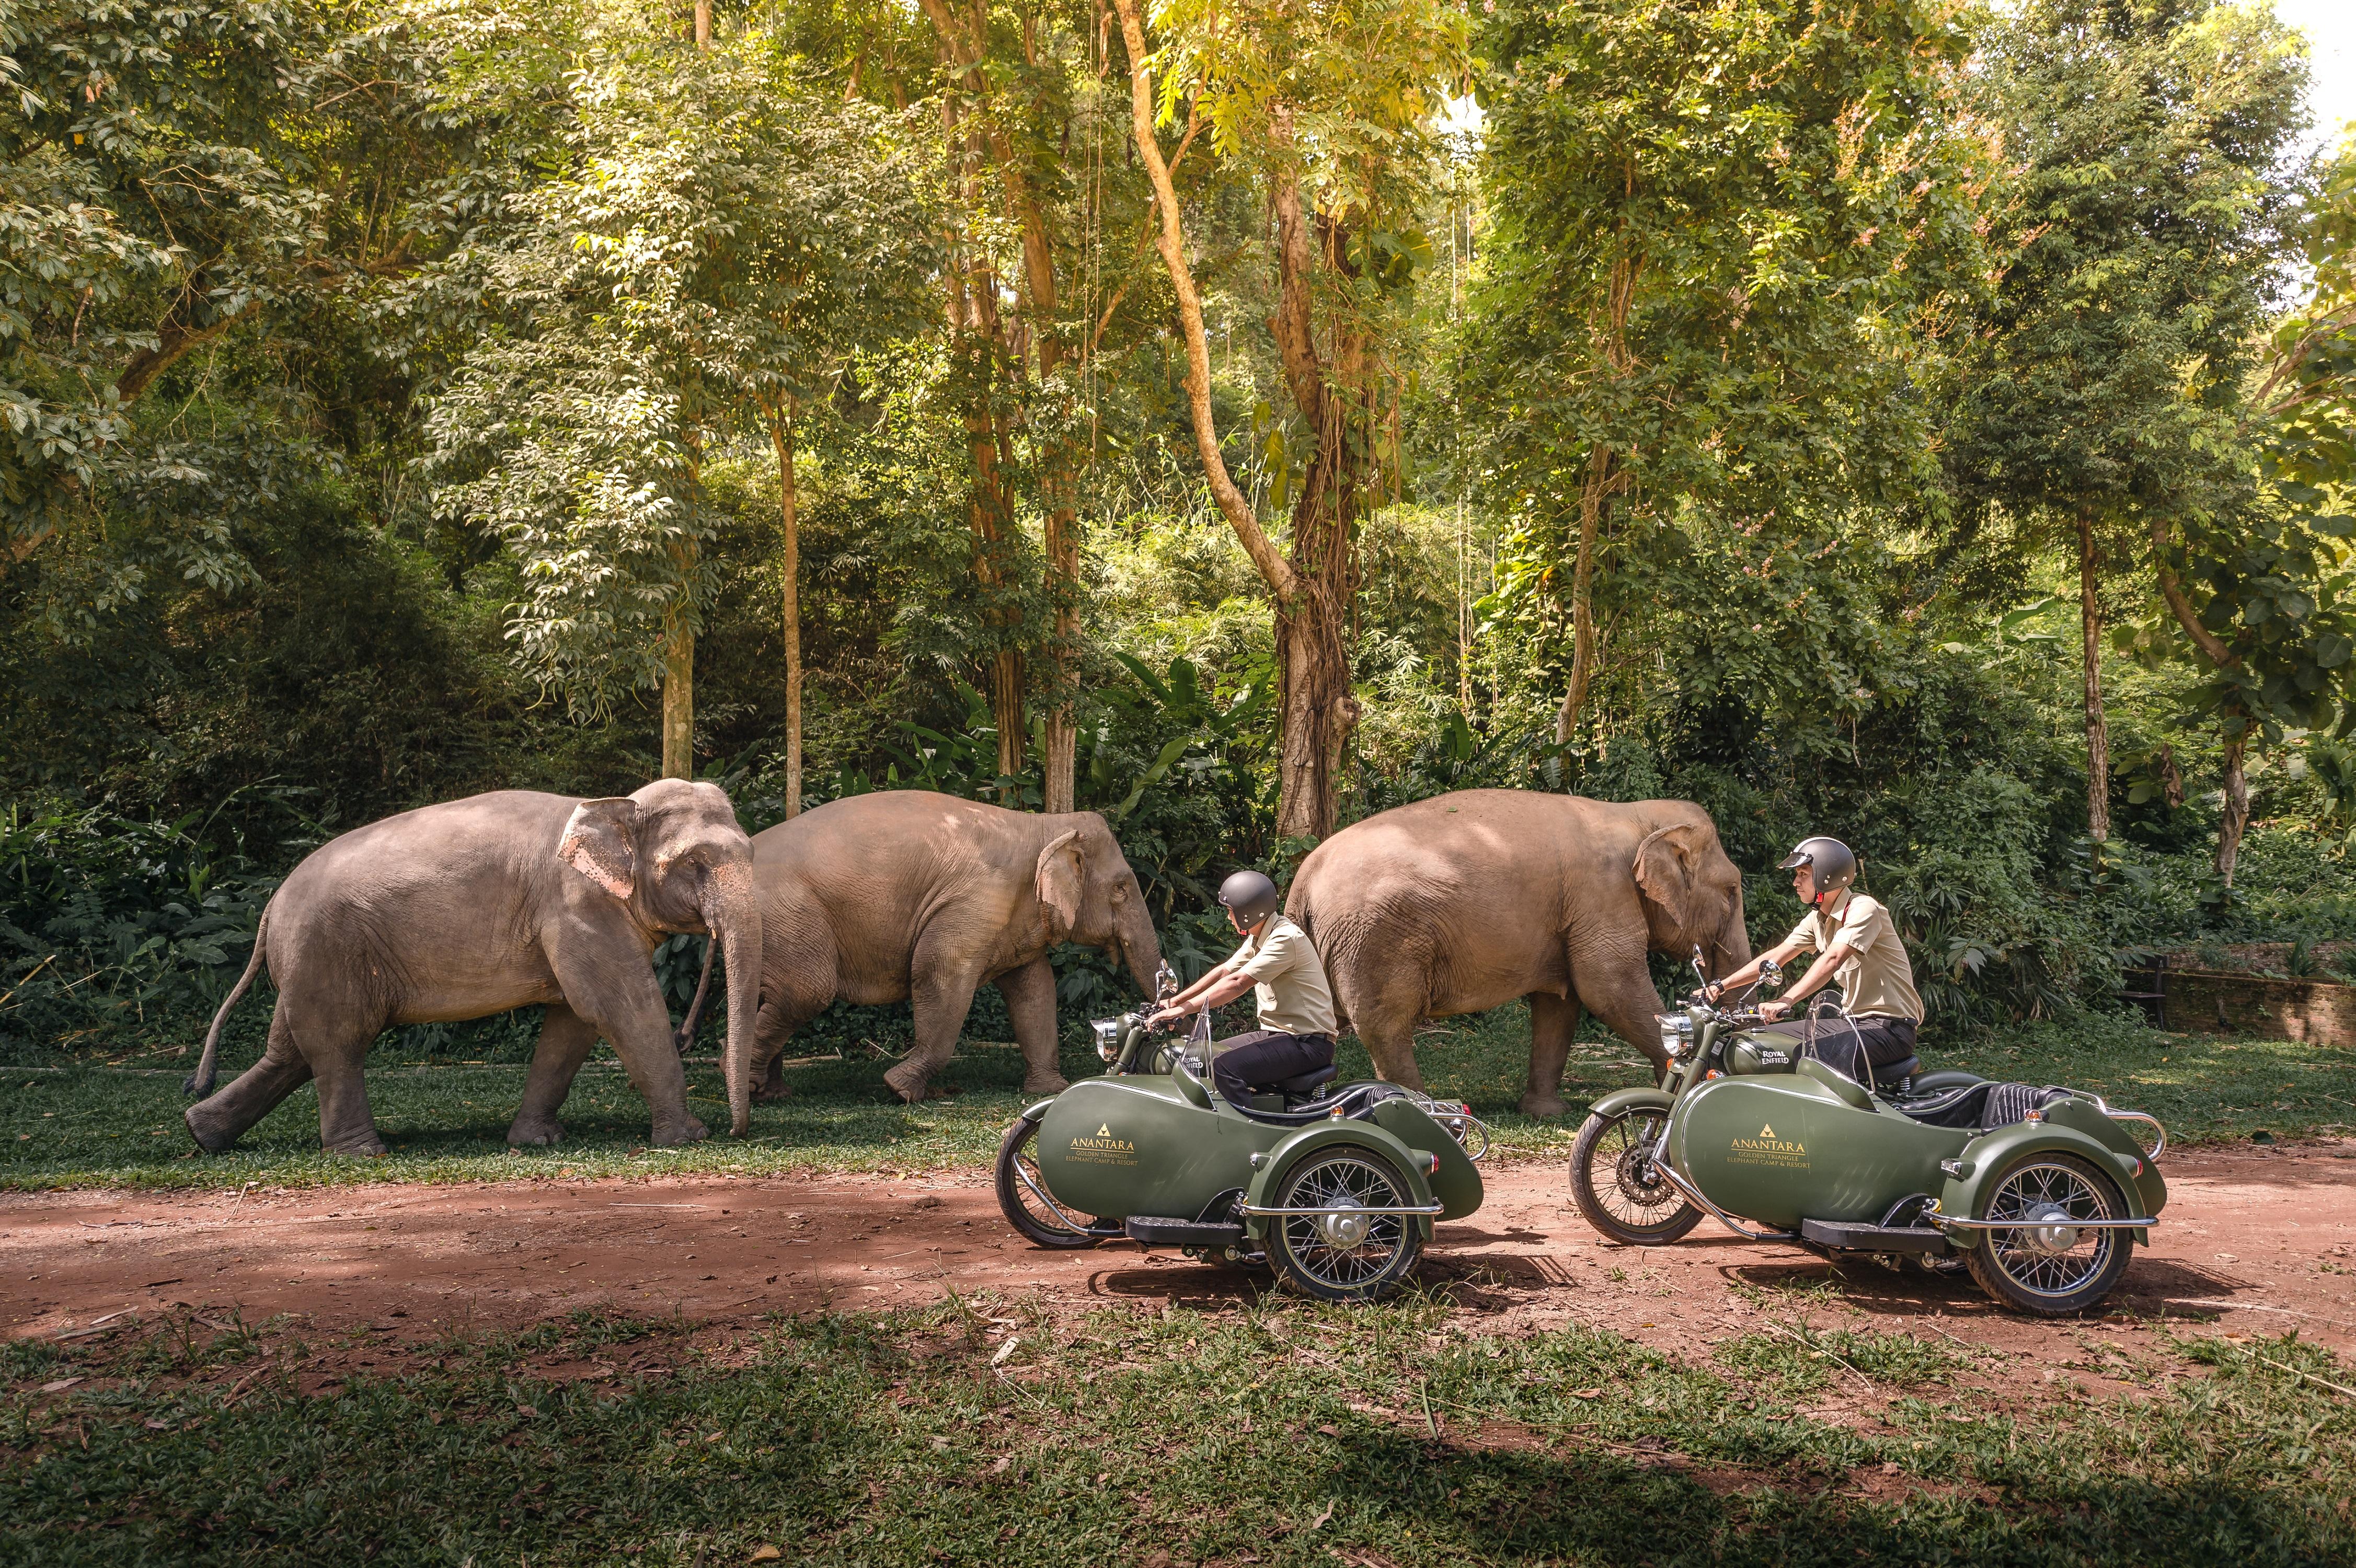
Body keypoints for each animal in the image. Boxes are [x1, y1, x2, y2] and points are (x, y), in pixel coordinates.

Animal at [181, 777, 763, 1154]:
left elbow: (572, 1022)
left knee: (290, 1052)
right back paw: (362, 1152)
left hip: (308, 963)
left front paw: (537, 1141)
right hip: (326, 953)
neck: (613, 806)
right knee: (336, 1045)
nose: (738, 1131)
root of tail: (270, 908)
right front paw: (688, 1138)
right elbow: (619, 1008)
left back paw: (200, 1133)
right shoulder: (576, 907)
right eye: (693, 864)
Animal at [749, 795, 1164, 1097]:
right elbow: (939, 975)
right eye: (1121, 889)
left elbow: (1035, 990)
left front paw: (1050, 1090)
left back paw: (771, 1093)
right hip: (789, 915)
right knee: (805, 993)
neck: (1044, 824)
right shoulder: (974, 904)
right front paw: (899, 1090)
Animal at [1291, 786, 1753, 1106]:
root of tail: (1303, 881)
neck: (1637, 816)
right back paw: (1421, 1106)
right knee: (1385, 1024)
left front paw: (1544, 1111)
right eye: (1732, 891)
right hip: (1375, 940)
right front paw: (1682, 1087)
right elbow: (1608, 989)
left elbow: (1559, 1005)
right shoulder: (1603, 895)